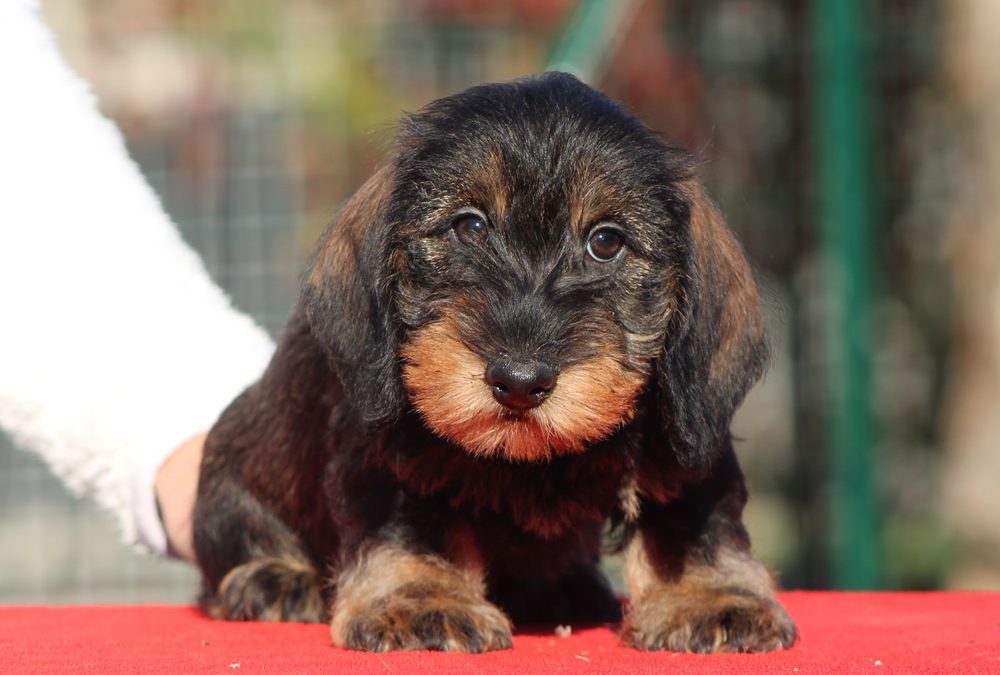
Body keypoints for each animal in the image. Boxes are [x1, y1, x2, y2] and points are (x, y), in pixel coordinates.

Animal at [193, 70, 796, 656]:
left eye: (606, 241)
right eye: (471, 226)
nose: (520, 382)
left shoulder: (684, 437)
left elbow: (690, 523)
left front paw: (712, 598)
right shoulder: (389, 459)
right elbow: (412, 528)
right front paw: (421, 598)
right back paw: (276, 577)